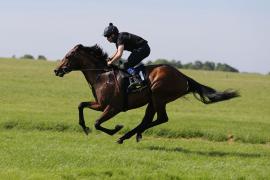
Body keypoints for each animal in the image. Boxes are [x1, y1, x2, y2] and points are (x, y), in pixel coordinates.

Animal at [53, 43, 239, 143]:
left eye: (68, 56)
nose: (56, 70)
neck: (102, 75)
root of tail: (183, 76)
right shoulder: (100, 104)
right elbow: (81, 105)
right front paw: (84, 128)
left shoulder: (113, 107)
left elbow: (98, 123)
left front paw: (116, 128)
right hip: (153, 100)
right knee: (148, 119)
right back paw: (132, 135)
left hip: (159, 96)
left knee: (161, 119)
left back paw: (128, 135)